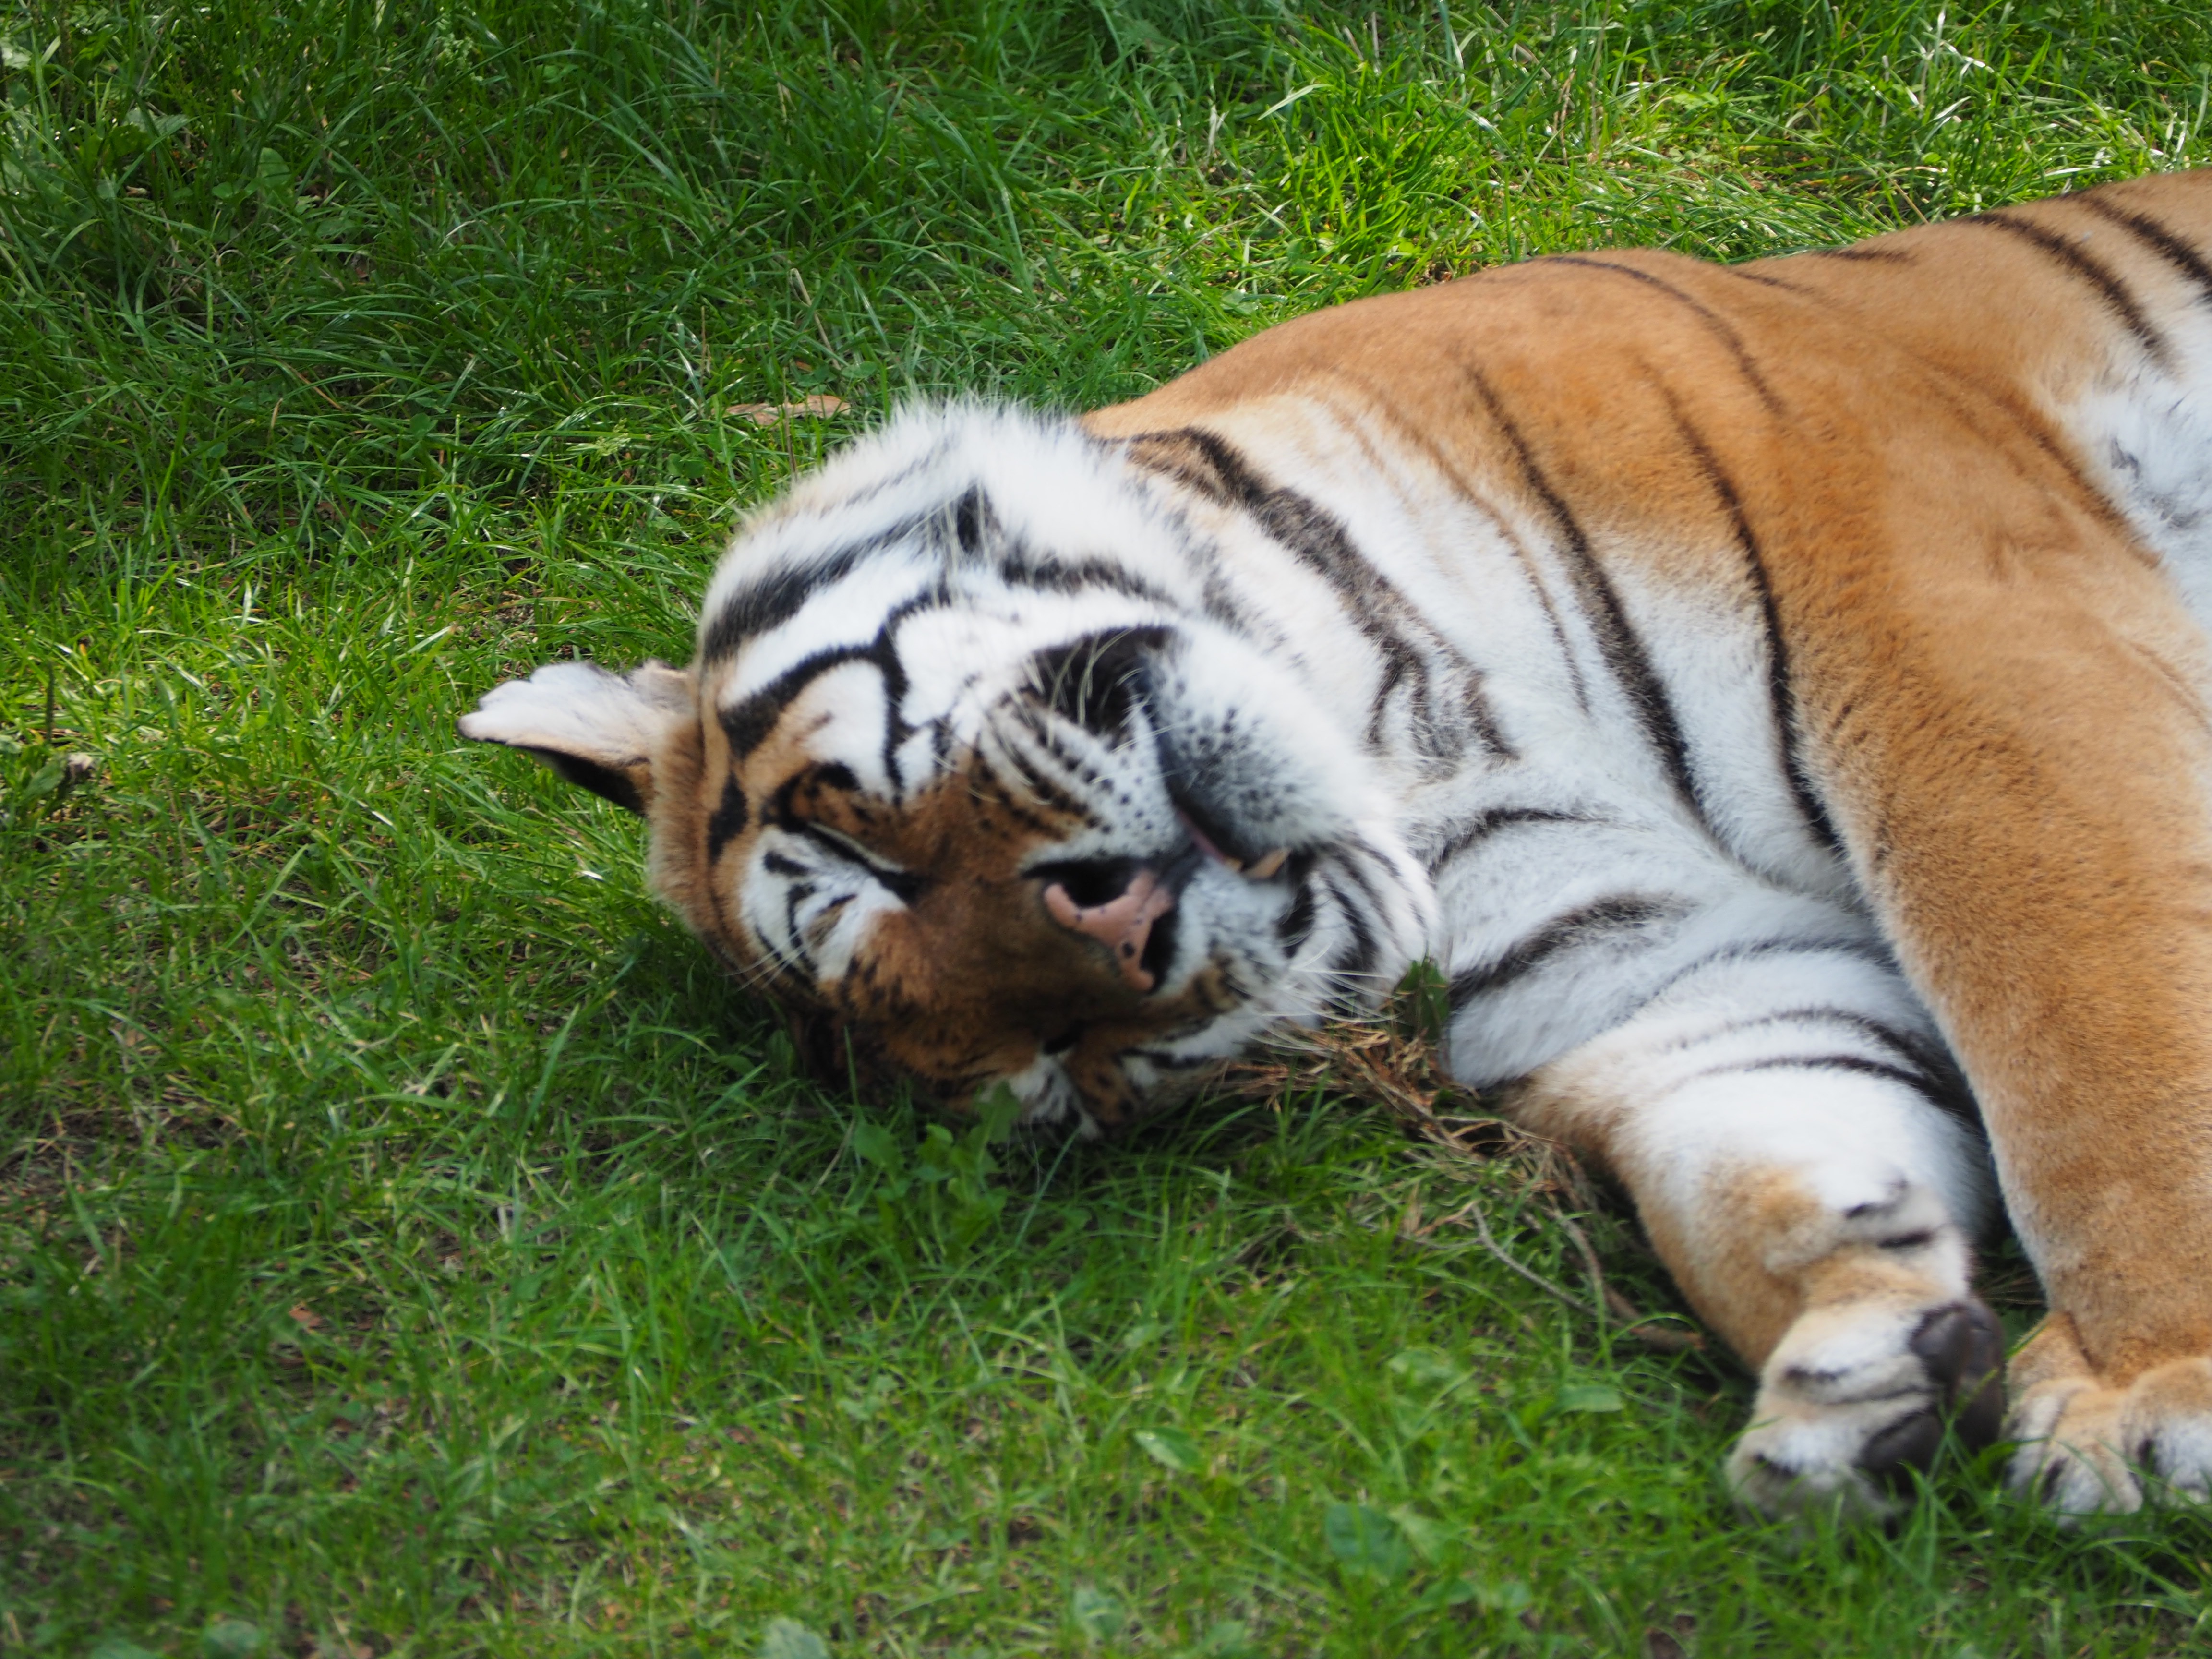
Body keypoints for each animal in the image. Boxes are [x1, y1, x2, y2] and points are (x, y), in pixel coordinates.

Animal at [467, 166, 2212, 1522]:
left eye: (878, 859)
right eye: (1063, 1072)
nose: (1123, 939)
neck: (1399, 738)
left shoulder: (1955, 632)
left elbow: (2087, 1030)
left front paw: (2142, 1389)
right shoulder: (1676, 977)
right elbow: (1756, 1166)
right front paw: (1852, 1372)